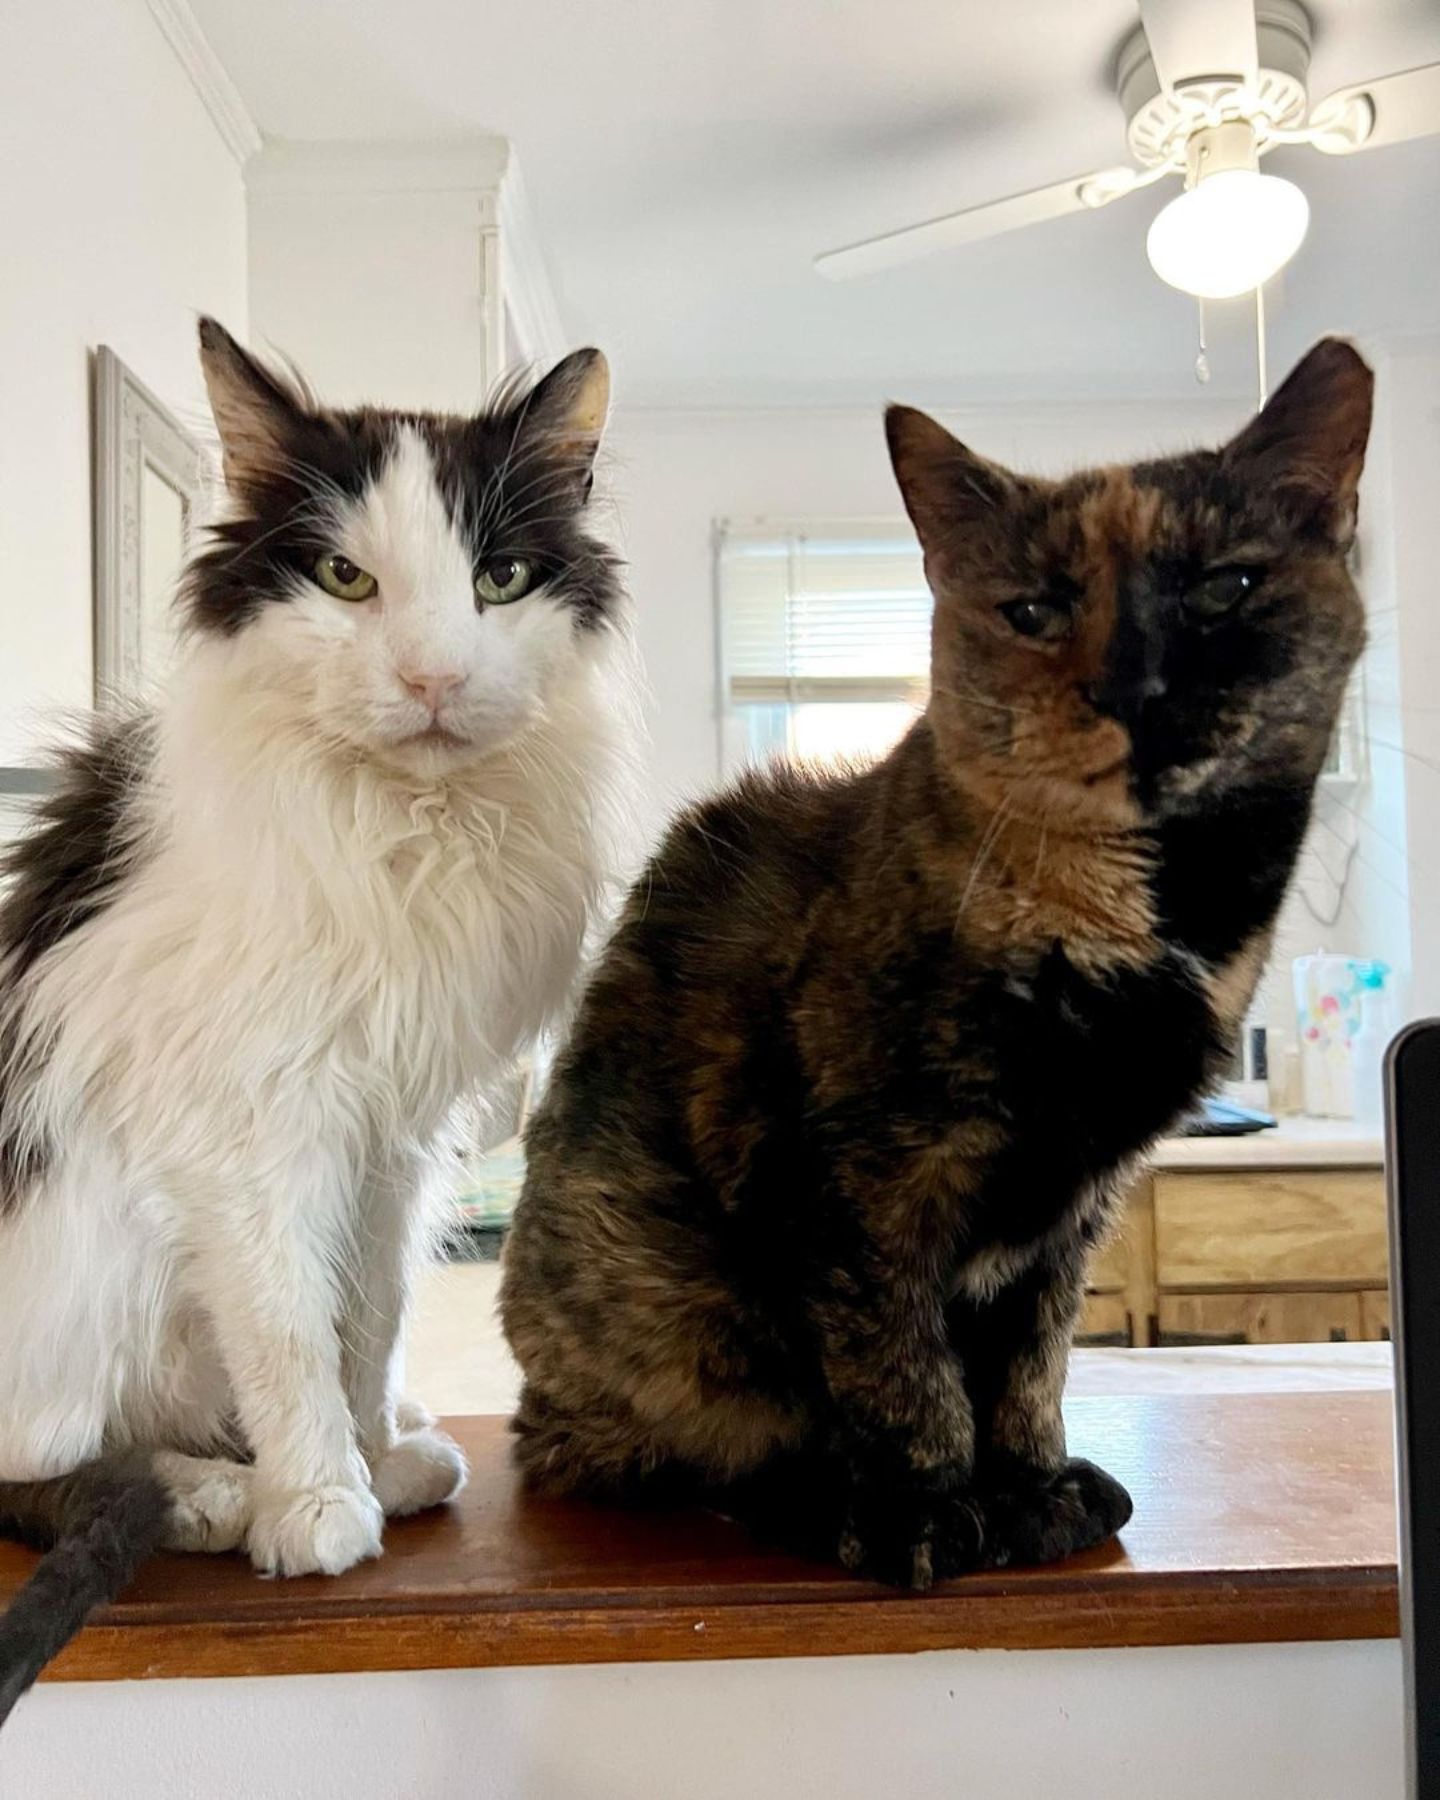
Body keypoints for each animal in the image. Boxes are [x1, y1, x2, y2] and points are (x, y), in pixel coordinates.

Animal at [0, 320, 633, 1713]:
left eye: (500, 576)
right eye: (346, 578)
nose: (435, 675)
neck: (405, 835)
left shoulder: (393, 1134)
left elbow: (370, 1317)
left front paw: (376, 1454)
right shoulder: (245, 1131)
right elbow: (288, 1328)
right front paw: (317, 1503)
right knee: (32, 1466)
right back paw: (212, 1495)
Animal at [504, 340, 1375, 1591]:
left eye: (1225, 587)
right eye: (1034, 609)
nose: (1134, 684)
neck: (1142, 922)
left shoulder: (1074, 1208)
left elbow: (1031, 1360)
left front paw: (1032, 1487)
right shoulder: (859, 1182)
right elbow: (902, 1364)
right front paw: (923, 1510)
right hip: (657, 1298)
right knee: (682, 1445)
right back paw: (808, 1496)